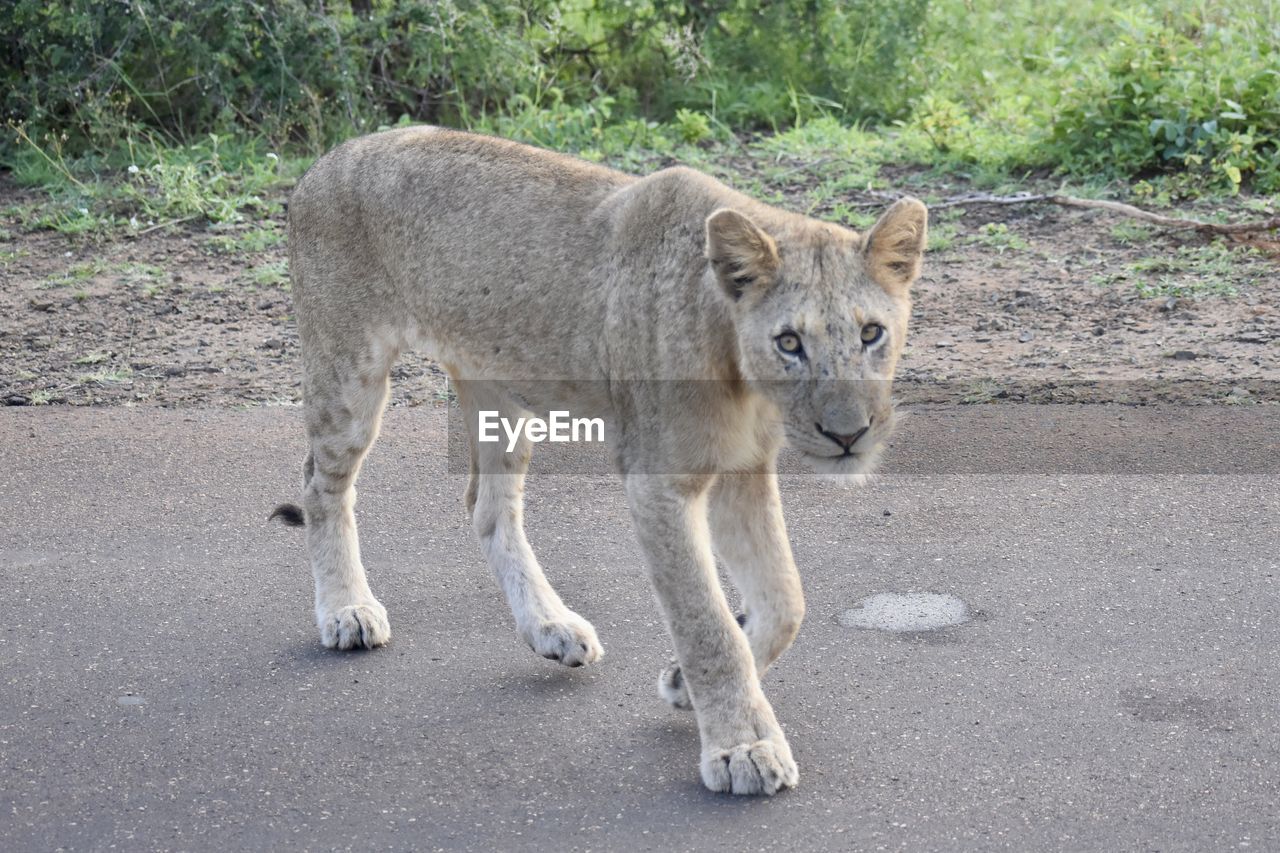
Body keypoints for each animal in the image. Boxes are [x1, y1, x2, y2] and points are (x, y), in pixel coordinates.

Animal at [275, 128, 926, 799]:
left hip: (498, 388)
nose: (848, 435)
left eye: (872, 333)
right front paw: (742, 747)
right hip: (348, 370)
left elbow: (786, 600)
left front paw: (684, 685)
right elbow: (706, 623)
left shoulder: (742, 468)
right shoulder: (659, 484)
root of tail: (325, 162)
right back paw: (347, 611)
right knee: (322, 487)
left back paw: (550, 627)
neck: (739, 369)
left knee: (488, 508)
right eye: (789, 342)